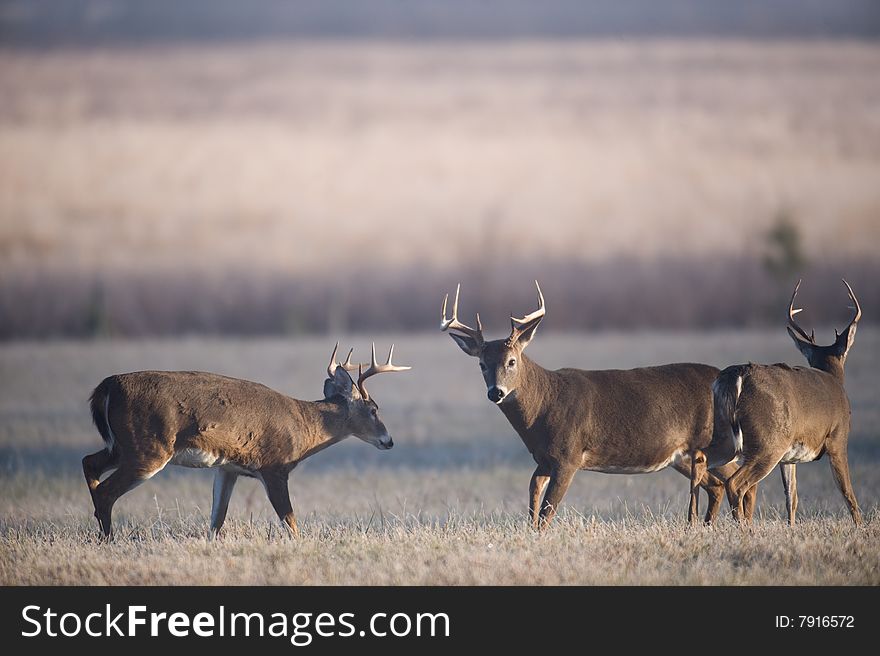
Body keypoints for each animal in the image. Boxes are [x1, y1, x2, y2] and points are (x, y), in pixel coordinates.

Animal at [82, 344, 410, 540]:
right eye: (374, 409)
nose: (389, 441)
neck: (304, 428)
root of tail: (107, 386)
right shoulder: (274, 466)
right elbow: (290, 520)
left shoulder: (228, 468)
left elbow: (217, 518)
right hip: (148, 447)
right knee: (107, 491)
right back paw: (109, 540)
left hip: (121, 445)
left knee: (89, 463)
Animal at [440, 282, 756, 528]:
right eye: (482, 364)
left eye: (511, 361)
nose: (496, 392)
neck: (543, 408)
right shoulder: (543, 459)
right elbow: (532, 508)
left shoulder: (568, 456)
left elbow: (546, 513)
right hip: (685, 455)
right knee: (720, 485)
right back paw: (715, 526)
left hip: (717, 441)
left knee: (738, 481)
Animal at [704, 280, 864, 524]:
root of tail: (737, 375)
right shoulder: (838, 437)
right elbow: (848, 493)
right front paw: (860, 527)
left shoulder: (789, 457)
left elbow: (792, 496)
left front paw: (791, 527)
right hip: (768, 441)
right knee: (736, 483)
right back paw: (744, 527)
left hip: (725, 434)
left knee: (702, 460)